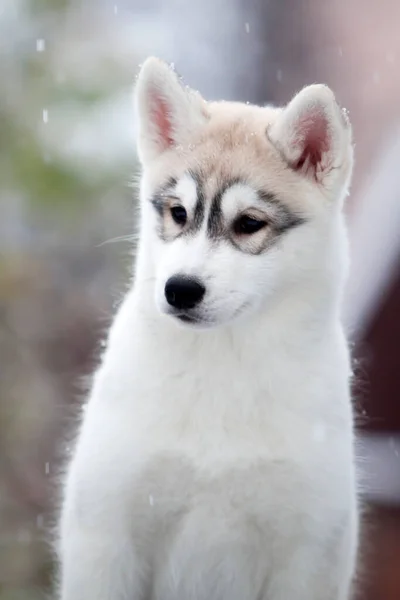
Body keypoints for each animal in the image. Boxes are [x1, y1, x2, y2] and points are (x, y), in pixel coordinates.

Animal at [57, 57, 360, 600]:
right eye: (178, 213)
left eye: (249, 223)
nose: (180, 290)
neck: (223, 362)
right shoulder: (107, 536)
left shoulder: (306, 553)